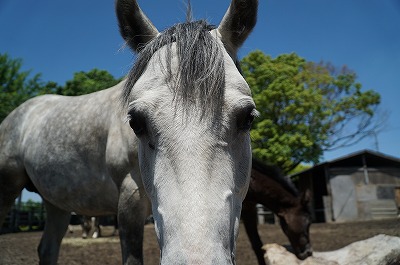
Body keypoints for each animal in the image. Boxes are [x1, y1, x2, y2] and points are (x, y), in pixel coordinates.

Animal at [0, 1, 258, 262]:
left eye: (248, 117)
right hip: (8, 187)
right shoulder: (128, 201)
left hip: (57, 203)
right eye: (136, 123)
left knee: (48, 248)